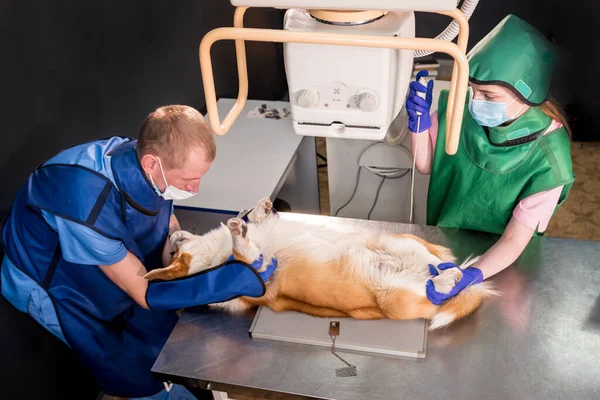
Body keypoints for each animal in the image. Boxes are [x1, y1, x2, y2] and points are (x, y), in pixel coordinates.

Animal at [143, 198, 494, 330]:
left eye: (173, 253)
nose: (171, 242)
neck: (211, 260)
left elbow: (254, 221)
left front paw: (256, 212)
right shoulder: (254, 272)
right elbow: (244, 253)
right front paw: (238, 235)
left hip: (394, 243)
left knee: (442, 264)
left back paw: (449, 272)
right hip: (397, 299)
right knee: (441, 287)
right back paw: (447, 281)